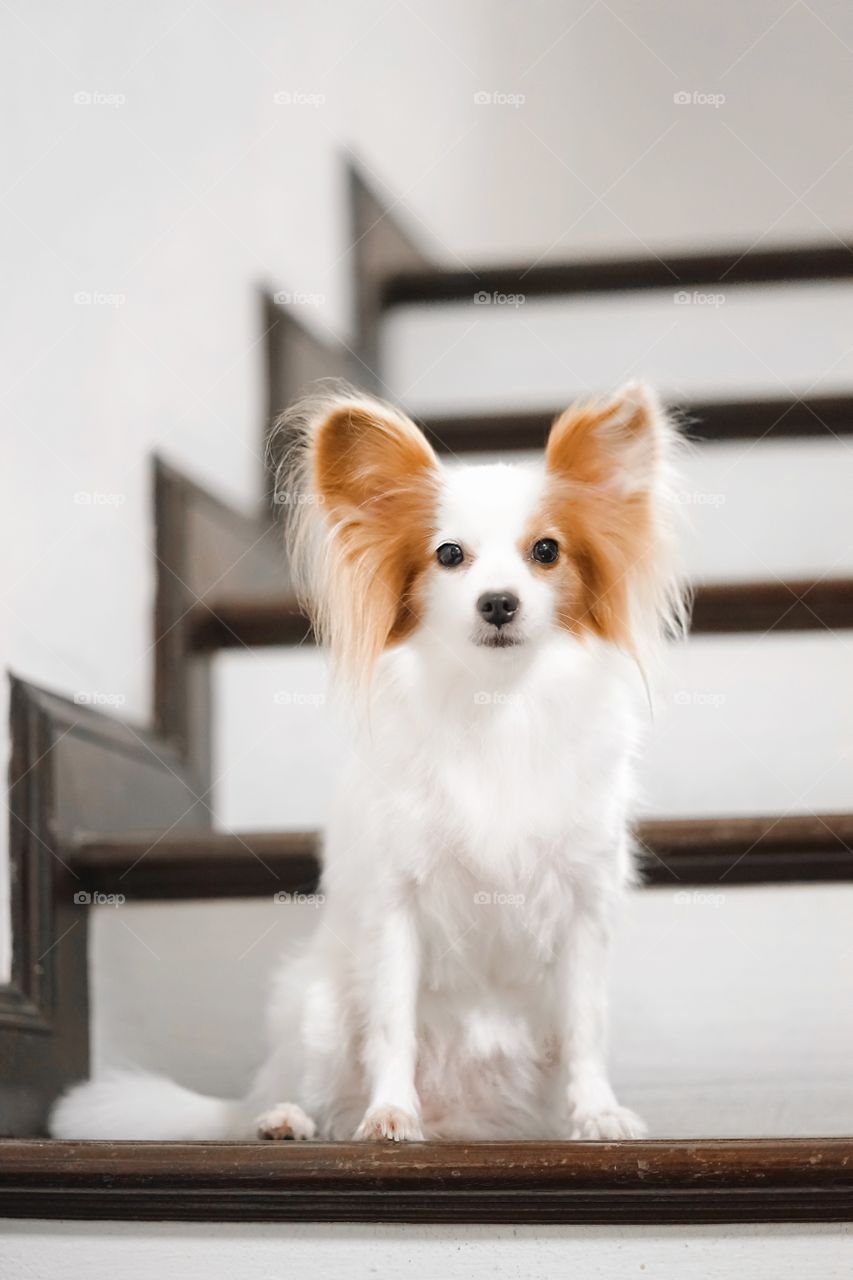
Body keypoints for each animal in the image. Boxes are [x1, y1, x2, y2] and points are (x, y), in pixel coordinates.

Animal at [51, 378, 686, 1141]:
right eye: (449, 556)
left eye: (546, 551)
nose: (498, 603)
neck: (497, 703)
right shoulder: (394, 909)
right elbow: (392, 1025)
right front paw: (390, 1114)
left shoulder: (583, 912)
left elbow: (586, 1027)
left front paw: (596, 1112)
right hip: (320, 1012)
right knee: (306, 1095)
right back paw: (287, 1119)